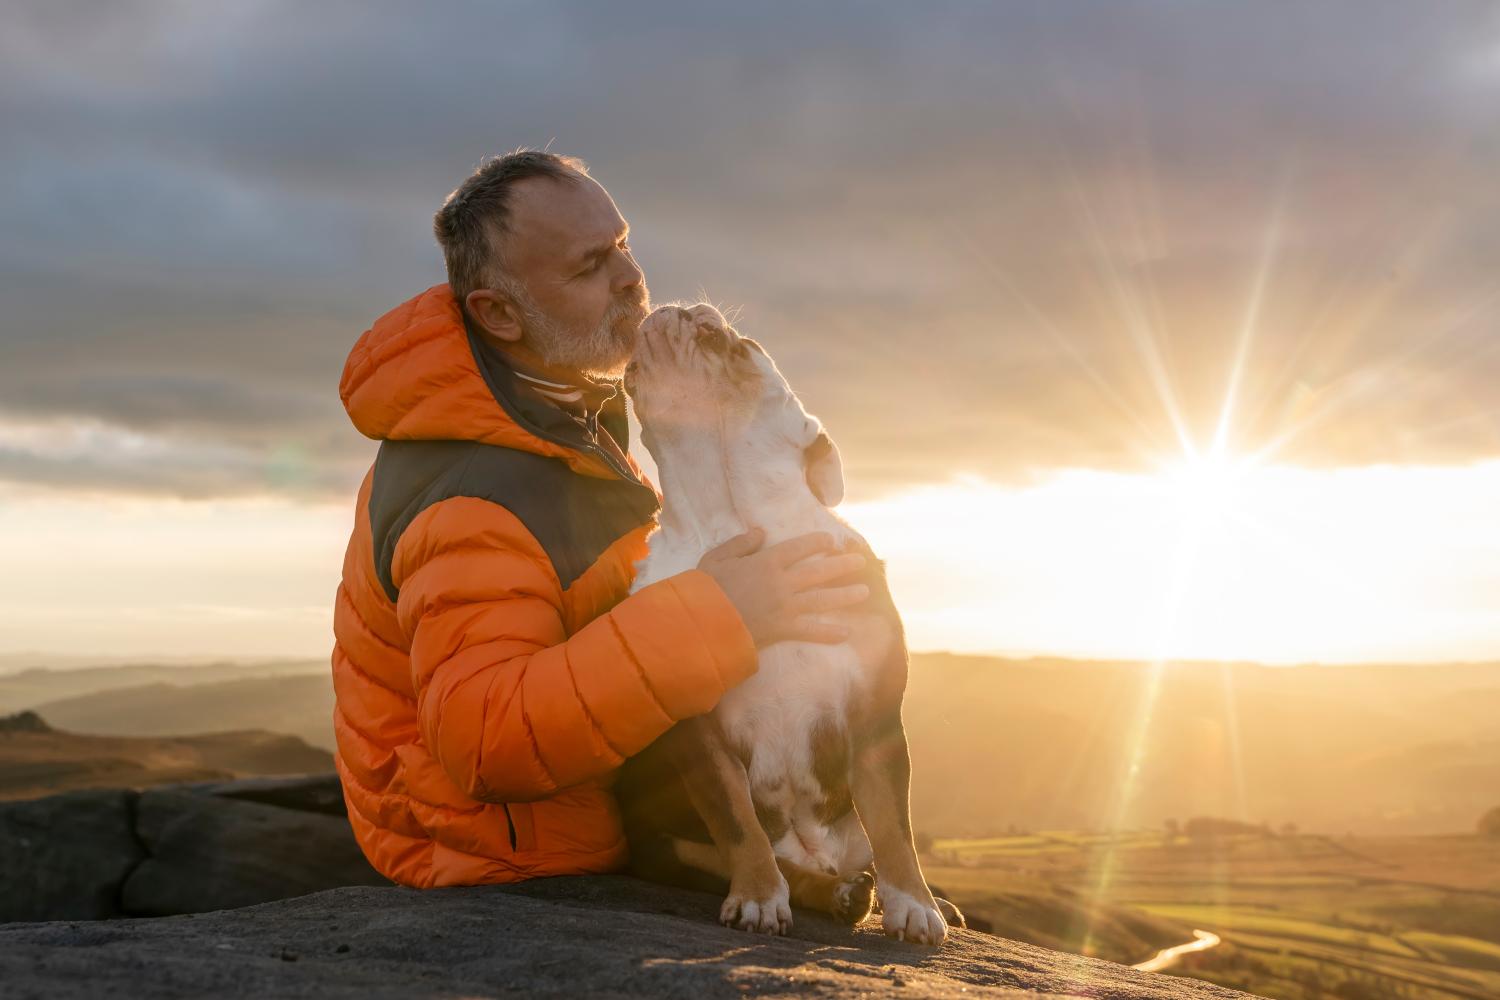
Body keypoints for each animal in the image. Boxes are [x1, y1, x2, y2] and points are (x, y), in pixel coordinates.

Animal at [615, 302, 954, 947]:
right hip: (662, 842)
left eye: (745, 345)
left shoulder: (875, 716)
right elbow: (736, 820)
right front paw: (755, 898)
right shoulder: (700, 731)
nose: (681, 306)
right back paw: (832, 893)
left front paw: (916, 906)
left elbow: (895, 827)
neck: (731, 513)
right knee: (774, 864)